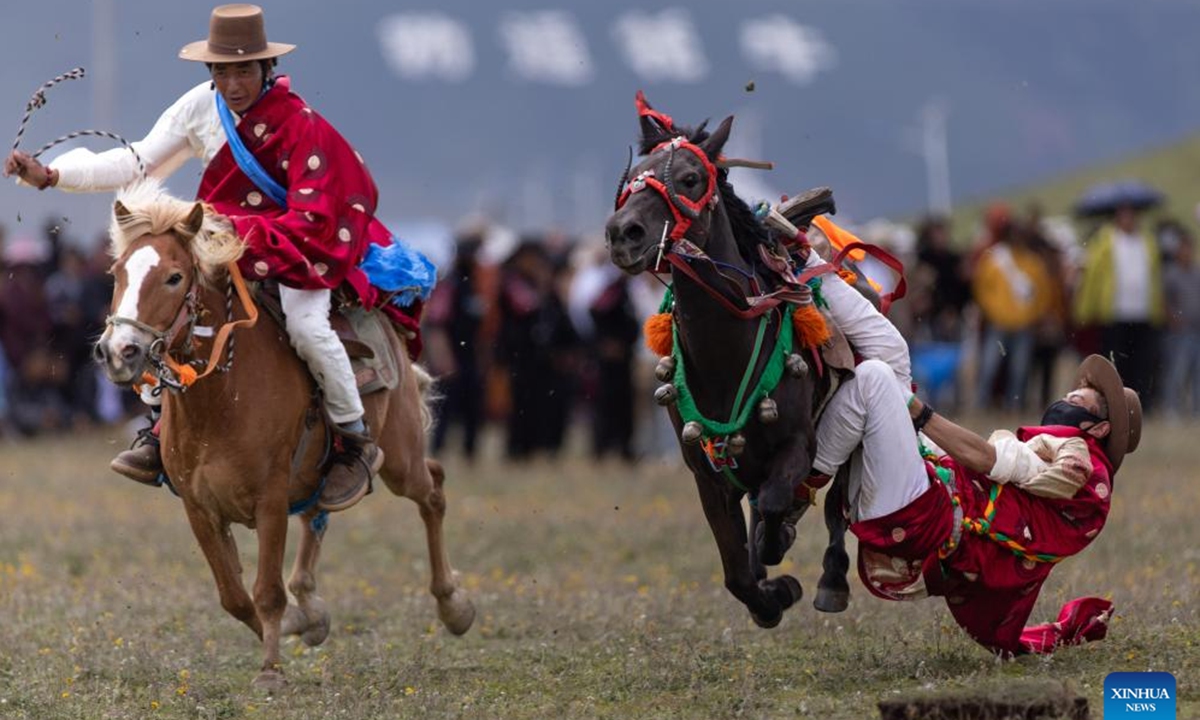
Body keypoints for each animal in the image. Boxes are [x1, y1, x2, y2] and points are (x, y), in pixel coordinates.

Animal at [92, 181, 472, 691]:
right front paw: (297, 622)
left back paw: (454, 605)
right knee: (318, 512)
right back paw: (310, 602)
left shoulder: (269, 499)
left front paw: (271, 670)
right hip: (318, 474)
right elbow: (234, 595)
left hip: (399, 456)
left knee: (432, 489)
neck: (220, 400)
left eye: (174, 277)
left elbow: (266, 590)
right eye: (117, 273)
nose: (119, 352)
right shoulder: (199, 507)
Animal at [604, 97, 849, 628]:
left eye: (691, 177)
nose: (622, 233)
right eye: (633, 176)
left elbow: (776, 502)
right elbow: (736, 571)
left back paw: (830, 576)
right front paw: (770, 597)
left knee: (838, 504)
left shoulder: (799, 444)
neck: (725, 357)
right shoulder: (706, 474)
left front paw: (779, 552)